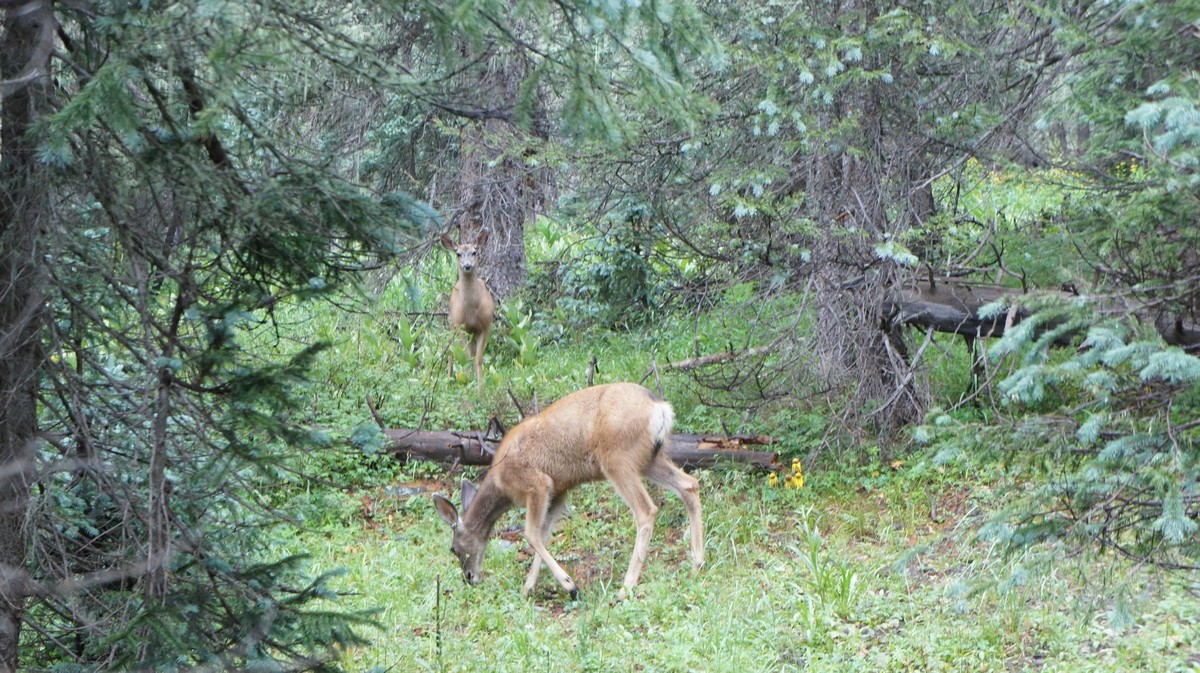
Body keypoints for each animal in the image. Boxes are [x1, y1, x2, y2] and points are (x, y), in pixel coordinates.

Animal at [432, 382, 704, 601]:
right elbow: (543, 534)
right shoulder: (559, 492)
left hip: (618, 459)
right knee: (689, 484)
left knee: (646, 510)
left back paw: (625, 588)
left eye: (453, 549)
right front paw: (528, 588)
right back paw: (697, 564)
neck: (501, 484)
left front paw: (569, 585)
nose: (469, 577)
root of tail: (660, 407)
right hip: (650, 459)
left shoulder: (538, 483)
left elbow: (531, 534)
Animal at [441, 231, 494, 387]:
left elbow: (478, 358)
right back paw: (450, 379)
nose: (467, 266)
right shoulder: (461, 327)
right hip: (452, 325)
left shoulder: (485, 326)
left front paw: (480, 387)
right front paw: (468, 382)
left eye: (474, 252)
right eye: (458, 253)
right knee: (451, 351)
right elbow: (467, 357)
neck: (471, 311)